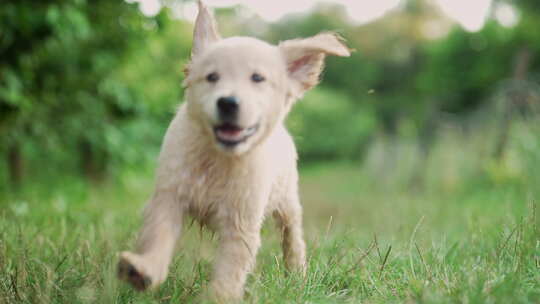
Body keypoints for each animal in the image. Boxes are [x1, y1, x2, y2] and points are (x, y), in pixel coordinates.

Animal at [118, 1, 350, 302]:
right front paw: (144, 269)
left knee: (292, 236)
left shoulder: (242, 223)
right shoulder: (169, 197)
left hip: (287, 199)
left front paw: (219, 296)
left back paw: (297, 275)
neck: (218, 157)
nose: (228, 102)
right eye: (212, 77)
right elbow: (159, 235)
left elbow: (231, 268)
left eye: (257, 78)